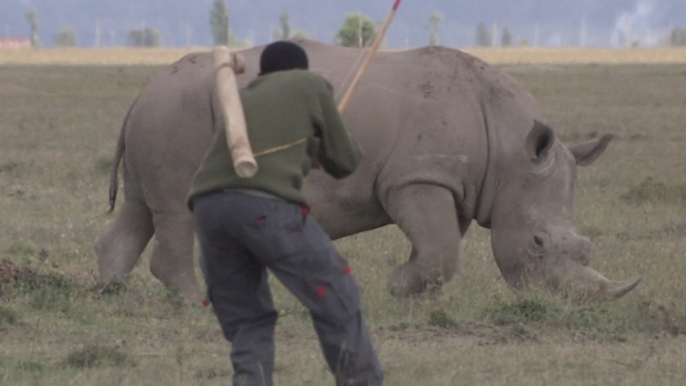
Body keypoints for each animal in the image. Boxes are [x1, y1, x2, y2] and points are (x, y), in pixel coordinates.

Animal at [95, 39, 644, 304]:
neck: (511, 152)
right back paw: (196, 303)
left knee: (141, 209)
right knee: (176, 210)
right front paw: (396, 289)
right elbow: (440, 249)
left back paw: (110, 294)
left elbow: (440, 247)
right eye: (537, 244)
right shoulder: (417, 176)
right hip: (179, 114)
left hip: (166, 114)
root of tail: (141, 93)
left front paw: (419, 298)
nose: (568, 305)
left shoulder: (454, 184)